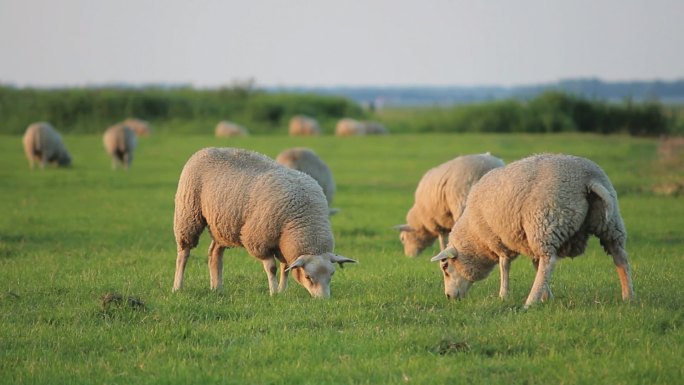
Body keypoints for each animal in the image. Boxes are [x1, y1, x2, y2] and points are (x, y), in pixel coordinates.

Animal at [172, 147, 358, 296]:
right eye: (308, 277)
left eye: (331, 275)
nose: (323, 300)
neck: (304, 220)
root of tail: (206, 149)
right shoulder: (260, 240)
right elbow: (272, 268)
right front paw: (274, 293)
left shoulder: (284, 243)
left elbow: (285, 268)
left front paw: (282, 291)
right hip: (188, 214)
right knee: (184, 253)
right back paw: (177, 287)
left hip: (222, 225)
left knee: (214, 254)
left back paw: (217, 288)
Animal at [432, 152, 636, 306]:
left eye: (445, 266)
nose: (448, 297)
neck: (474, 236)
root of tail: (587, 179)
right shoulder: (526, 243)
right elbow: (534, 265)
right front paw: (548, 297)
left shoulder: (499, 240)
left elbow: (505, 266)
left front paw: (504, 295)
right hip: (610, 223)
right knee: (620, 257)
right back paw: (628, 296)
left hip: (545, 222)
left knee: (549, 261)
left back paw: (530, 301)